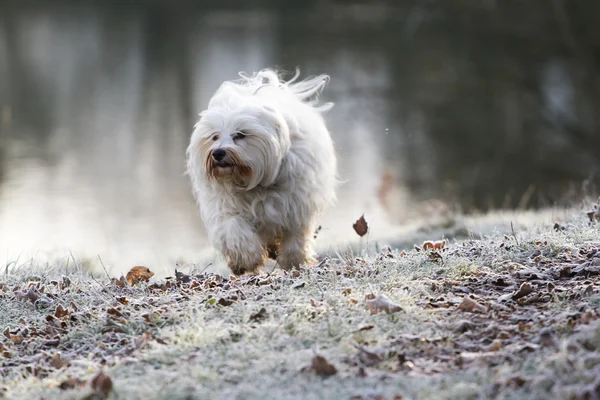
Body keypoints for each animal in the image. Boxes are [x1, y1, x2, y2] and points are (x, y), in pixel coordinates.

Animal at [188, 69, 338, 276]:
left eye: (240, 134)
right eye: (214, 136)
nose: (218, 153)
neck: (252, 182)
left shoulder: (296, 207)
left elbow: (295, 238)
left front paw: (294, 261)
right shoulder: (225, 207)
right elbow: (234, 230)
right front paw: (246, 259)